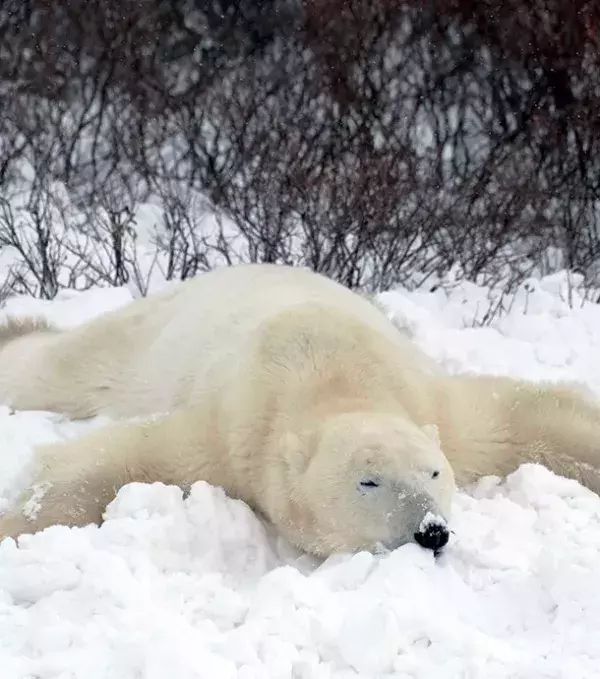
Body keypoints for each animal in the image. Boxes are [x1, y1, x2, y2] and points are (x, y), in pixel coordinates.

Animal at [1, 262, 600, 557]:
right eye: (368, 481)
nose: (430, 530)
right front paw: (14, 526)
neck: (332, 376)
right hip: (144, 340)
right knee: (59, 367)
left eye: (433, 472)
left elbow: (526, 418)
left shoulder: (439, 409)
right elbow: (118, 461)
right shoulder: (233, 431)